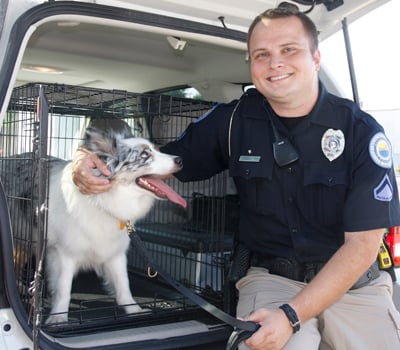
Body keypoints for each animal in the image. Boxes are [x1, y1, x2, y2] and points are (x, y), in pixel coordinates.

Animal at [45, 127, 186, 324]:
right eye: (144, 154)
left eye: (157, 149)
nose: (180, 160)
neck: (102, 203)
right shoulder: (64, 254)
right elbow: (63, 288)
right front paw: (58, 318)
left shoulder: (115, 253)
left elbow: (123, 285)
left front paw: (134, 310)